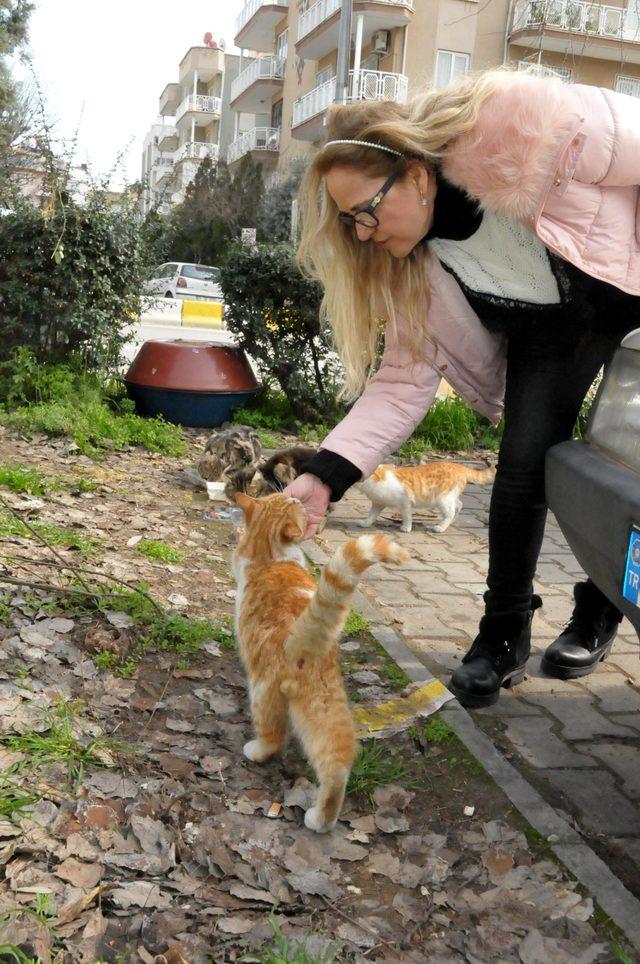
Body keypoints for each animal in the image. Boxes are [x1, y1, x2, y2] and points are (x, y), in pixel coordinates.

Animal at [232, 494, 408, 832]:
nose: (297, 496)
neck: (270, 555)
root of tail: (303, 637)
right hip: (326, 708)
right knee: (335, 767)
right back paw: (322, 818)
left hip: (263, 691)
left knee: (273, 736)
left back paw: (256, 750)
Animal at [360, 462, 496, 536]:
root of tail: (458, 466)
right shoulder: (378, 503)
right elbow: (372, 514)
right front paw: (366, 522)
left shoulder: (405, 501)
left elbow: (407, 516)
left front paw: (406, 527)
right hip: (450, 497)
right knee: (459, 505)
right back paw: (449, 522)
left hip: (443, 499)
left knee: (450, 512)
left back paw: (440, 527)